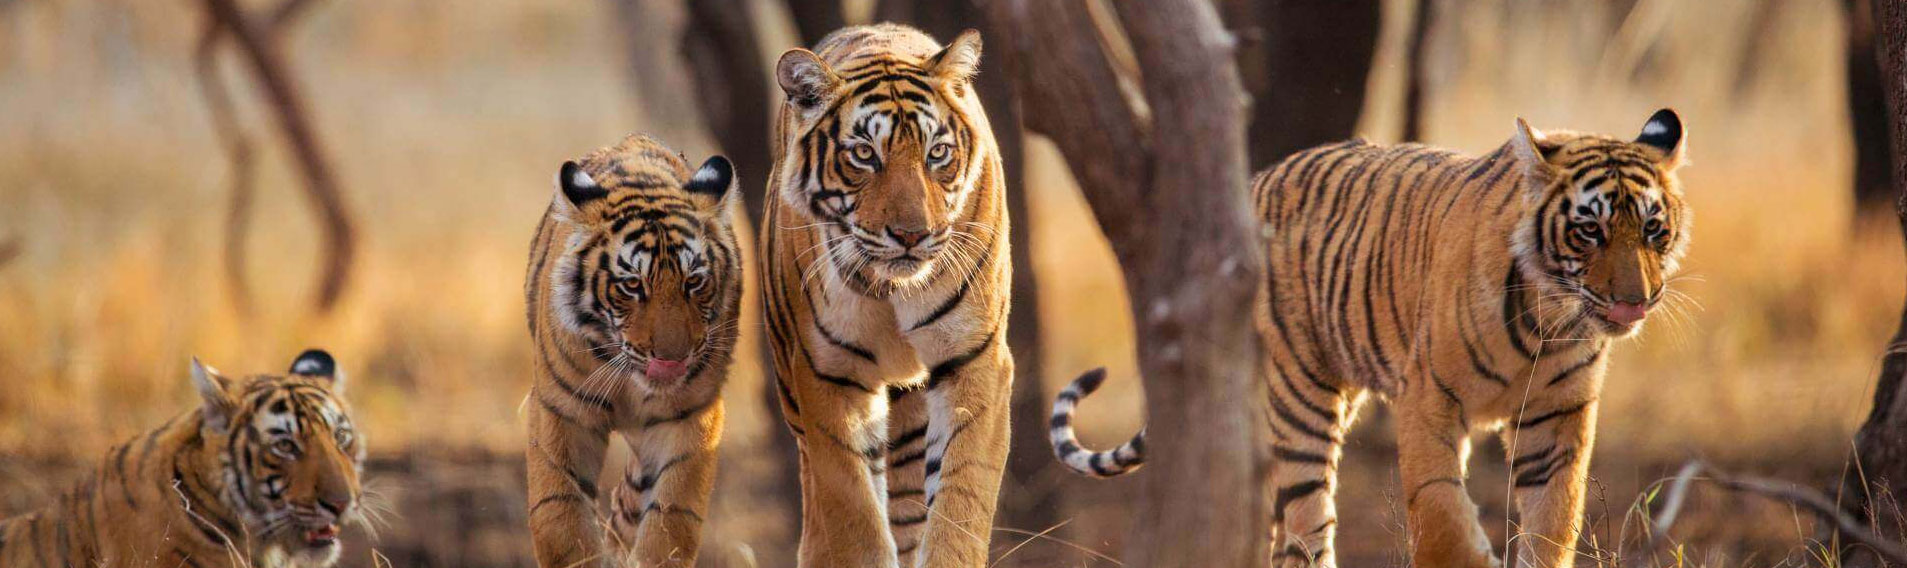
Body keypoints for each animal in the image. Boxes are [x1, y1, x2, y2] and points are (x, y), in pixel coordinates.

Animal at [521, 134, 743, 567]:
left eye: (694, 281)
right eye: (632, 285)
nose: (671, 358)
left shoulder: (690, 415)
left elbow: (672, 514)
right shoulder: (561, 411)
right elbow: (560, 516)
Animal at [762, 23, 1014, 567]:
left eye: (937, 153)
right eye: (864, 155)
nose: (911, 235)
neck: (891, 289)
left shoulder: (974, 360)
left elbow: (960, 500)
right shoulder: (828, 376)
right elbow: (854, 514)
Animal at [1051, 110, 1691, 568]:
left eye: (1653, 230)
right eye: (1590, 231)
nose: (1635, 301)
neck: (1548, 320)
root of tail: (1255, 181)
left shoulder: (1557, 415)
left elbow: (1555, 518)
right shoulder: (1429, 398)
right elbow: (1440, 513)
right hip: (1301, 397)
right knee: (1306, 528)